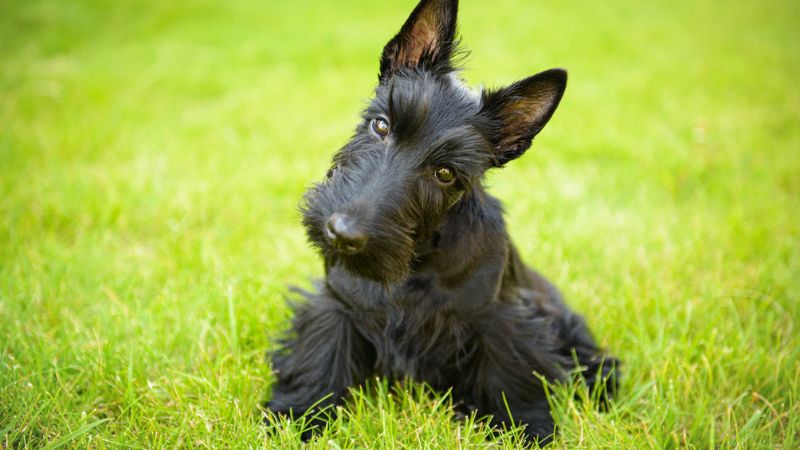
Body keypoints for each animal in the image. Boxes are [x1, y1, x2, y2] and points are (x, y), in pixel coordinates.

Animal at [266, 0, 616, 442]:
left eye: (446, 173)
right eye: (381, 124)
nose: (343, 234)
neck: (415, 263)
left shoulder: (501, 320)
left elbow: (510, 378)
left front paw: (526, 427)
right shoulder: (337, 306)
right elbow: (319, 363)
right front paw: (297, 416)